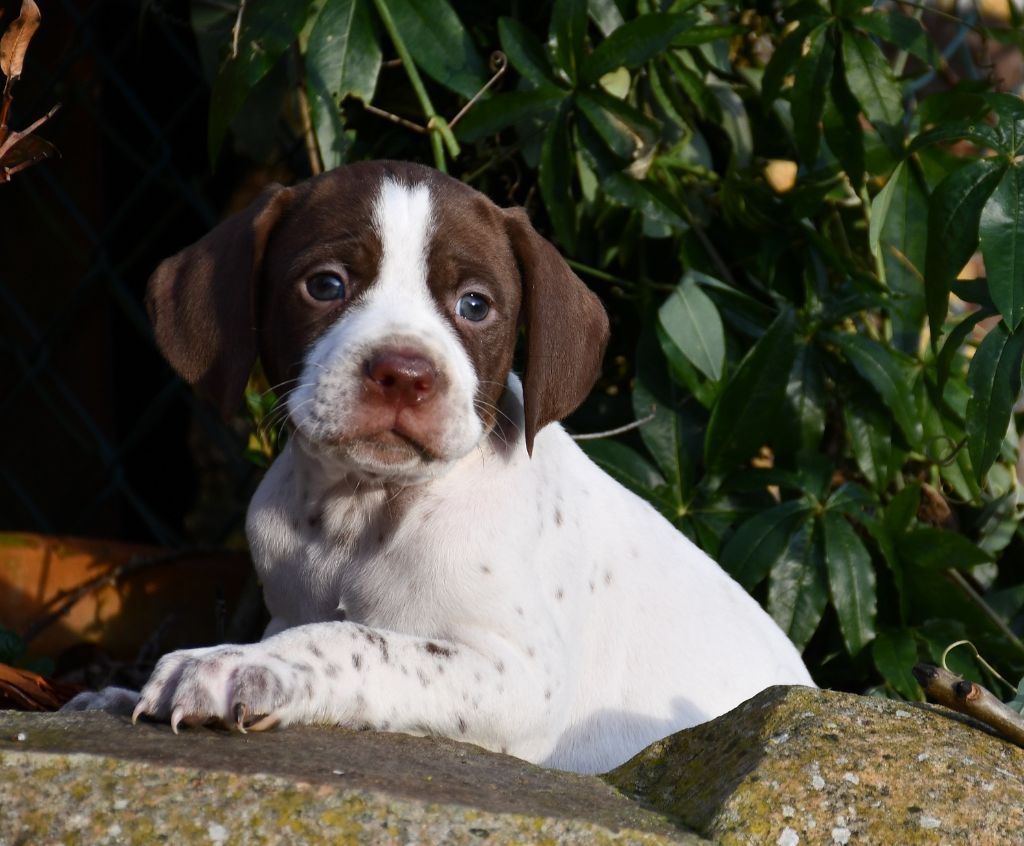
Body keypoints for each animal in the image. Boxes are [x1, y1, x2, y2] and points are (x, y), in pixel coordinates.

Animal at [68, 157, 811, 770]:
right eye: (325, 286)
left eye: (474, 305)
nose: (403, 373)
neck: (364, 509)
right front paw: (117, 693)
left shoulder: (520, 675)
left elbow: (356, 639)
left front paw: (231, 667)